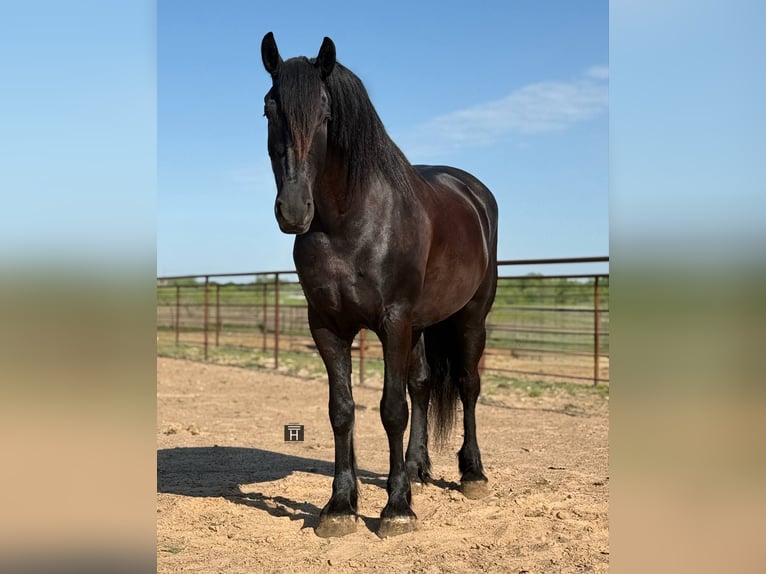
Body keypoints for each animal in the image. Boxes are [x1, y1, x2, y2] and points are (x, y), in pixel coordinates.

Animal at [260, 32, 498, 538]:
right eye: (269, 108)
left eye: (326, 114)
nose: (293, 210)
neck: (351, 222)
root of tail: (473, 192)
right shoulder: (327, 326)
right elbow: (342, 410)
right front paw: (340, 506)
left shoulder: (393, 322)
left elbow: (391, 409)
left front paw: (397, 510)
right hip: (423, 323)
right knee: (424, 386)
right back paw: (416, 468)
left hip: (470, 316)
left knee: (467, 385)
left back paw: (472, 474)